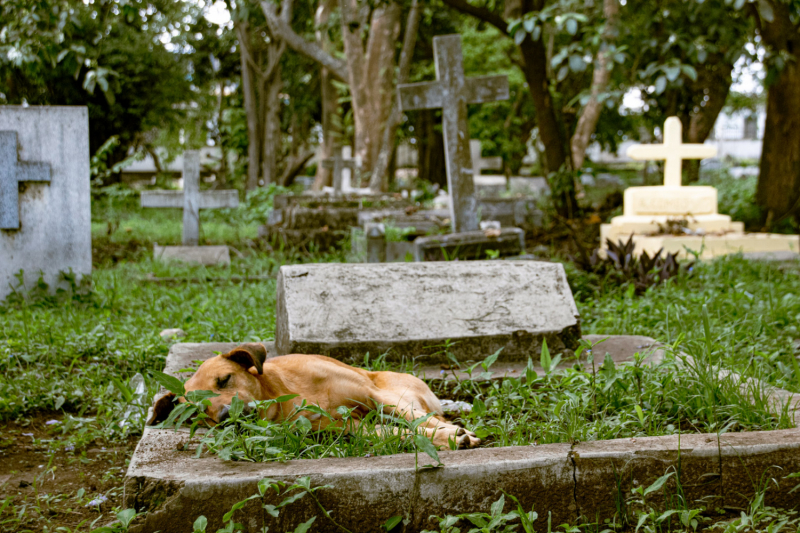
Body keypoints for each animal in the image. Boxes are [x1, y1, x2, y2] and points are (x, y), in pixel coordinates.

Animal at [147, 340, 478, 448]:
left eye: (225, 379)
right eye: (197, 413)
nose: (229, 417)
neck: (290, 395)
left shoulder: (373, 395)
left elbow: (413, 420)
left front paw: (450, 433)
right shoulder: (345, 426)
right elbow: (394, 433)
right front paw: (446, 438)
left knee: (423, 414)